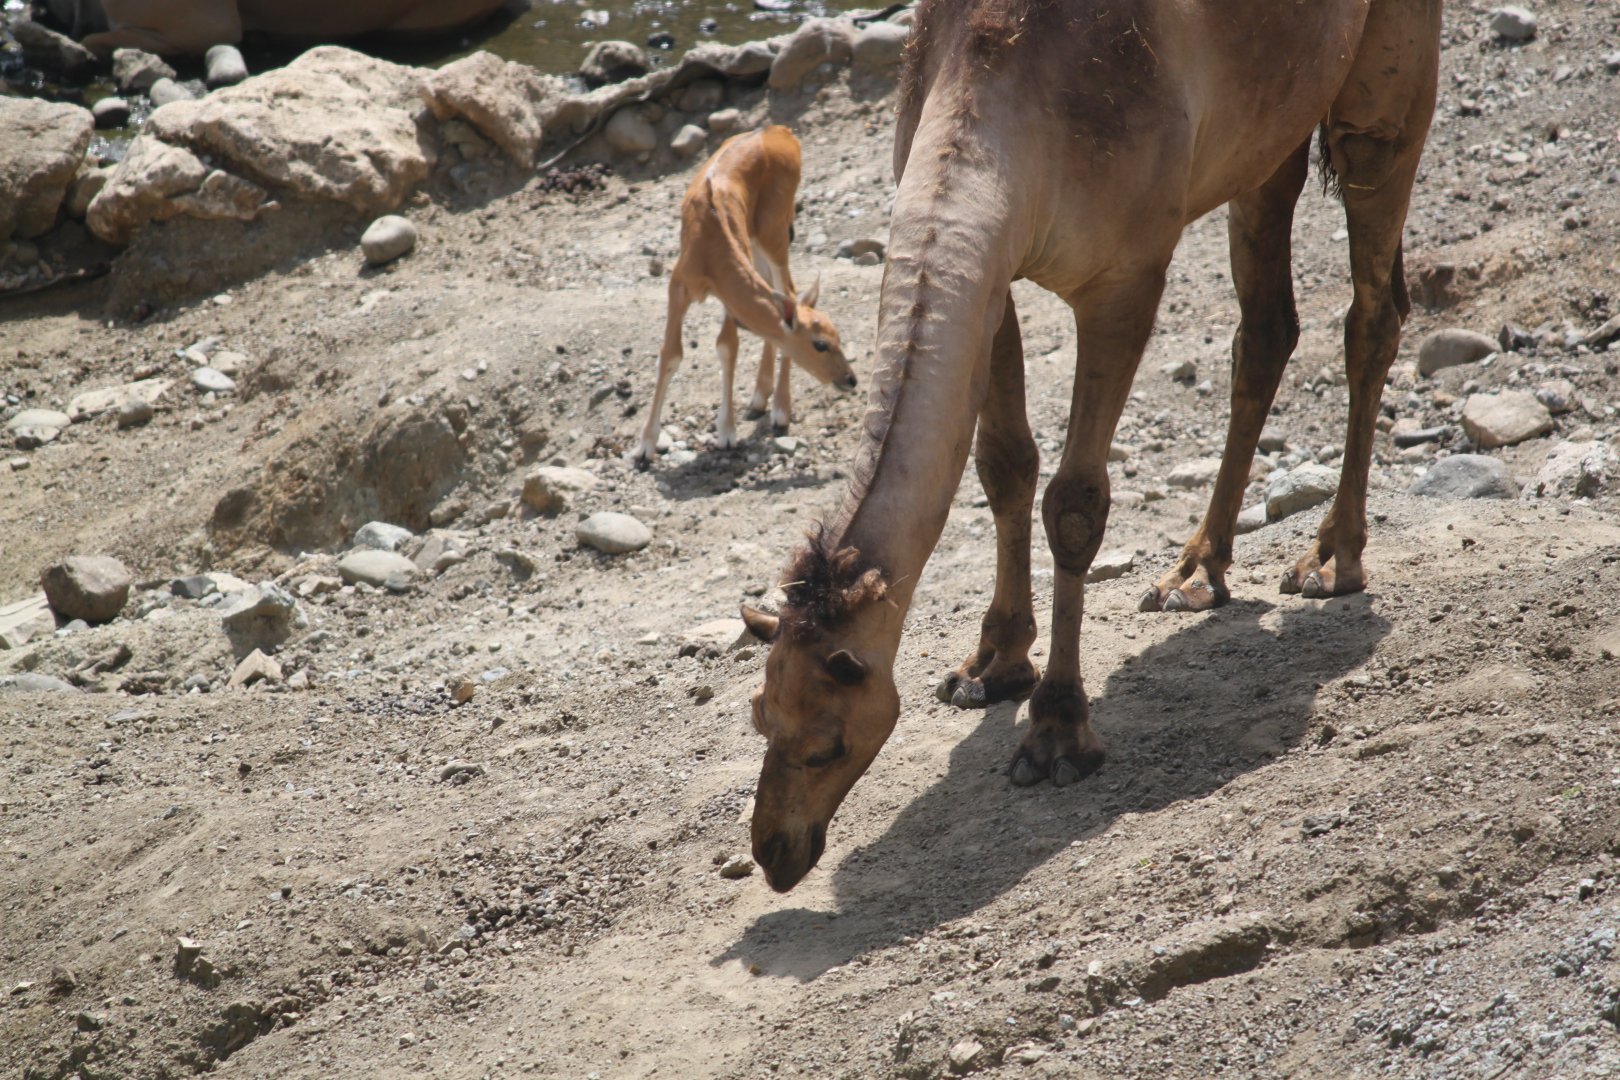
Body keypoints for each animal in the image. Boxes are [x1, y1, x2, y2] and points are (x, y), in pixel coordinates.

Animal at [633, 125, 857, 465]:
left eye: (840, 338)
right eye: (820, 344)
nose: (850, 379)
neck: (711, 243)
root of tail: (782, 133)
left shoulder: (727, 295)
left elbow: (727, 347)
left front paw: (726, 432)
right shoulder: (679, 284)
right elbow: (671, 354)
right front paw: (645, 446)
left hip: (774, 231)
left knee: (788, 290)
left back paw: (779, 410)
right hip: (763, 238)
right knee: (786, 292)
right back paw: (760, 399)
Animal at [740, 0, 1442, 891]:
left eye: (826, 741)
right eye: (761, 715)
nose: (774, 851)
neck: (1008, 95)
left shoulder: (1124, 277)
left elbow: (1074, 503)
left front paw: (1058, 731)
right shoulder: (993, 276)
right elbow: (1004, 464)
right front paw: (991, 668)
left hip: (1383, 95)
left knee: (1372, 302)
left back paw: (1330, 560)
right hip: (1268, 136)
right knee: (1266, 328)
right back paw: (1193, 574)